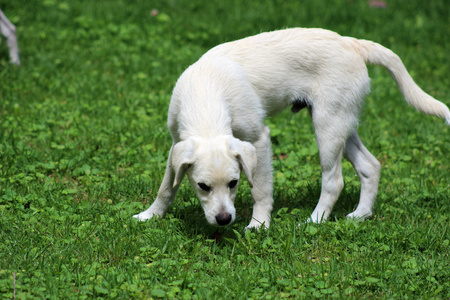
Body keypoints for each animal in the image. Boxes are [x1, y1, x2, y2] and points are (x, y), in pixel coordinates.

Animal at [134, 28, 450, 230]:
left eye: (234, 183)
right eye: (202, 186)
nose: (224, 220)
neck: (207, 92)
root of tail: (353, 43)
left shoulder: (258, 139)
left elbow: (261, 188)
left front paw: (259, 225)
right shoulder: (176, 145)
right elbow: (166, 187)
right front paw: (150, 215)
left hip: (327, 125)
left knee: (334, 181)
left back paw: (314, 221)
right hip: (342, 123)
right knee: (370, 166)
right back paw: (360, 215)